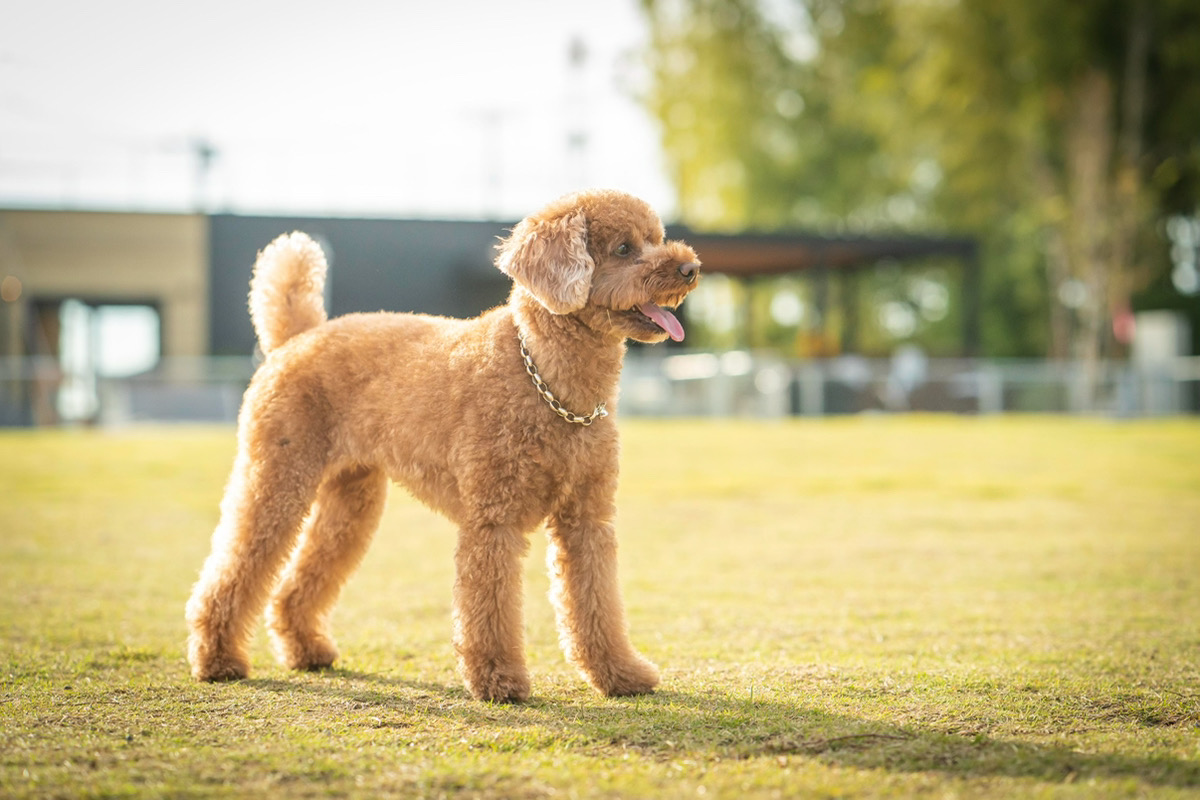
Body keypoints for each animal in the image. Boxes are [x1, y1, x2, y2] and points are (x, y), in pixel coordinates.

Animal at [187, 188, 700, 700]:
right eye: (623, 249)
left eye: (658, 238)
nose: (690, 267)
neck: (546, 377)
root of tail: (297, 338)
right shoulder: (492, 519)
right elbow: (489, 606)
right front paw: (499, 680)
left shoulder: (587, 520)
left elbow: (596, 602)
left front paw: (620, 673)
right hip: (276, 477)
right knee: (234, 566)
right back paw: (217, 659)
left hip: (351, 500)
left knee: (298, 581)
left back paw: (307, 651)